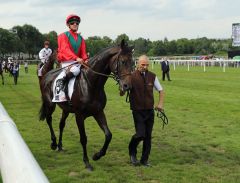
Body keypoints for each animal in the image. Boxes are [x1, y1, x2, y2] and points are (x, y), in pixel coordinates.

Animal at [38, 40, 134, 170]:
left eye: (132, 62)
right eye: (123, 61)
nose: (127, 86)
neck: (91, 83)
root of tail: (47, 74)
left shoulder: (98, 112)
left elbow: (108, 135)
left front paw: (97, 155)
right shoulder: (79, 116)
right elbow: (83, 138)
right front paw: (87, 162)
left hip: (65, 110)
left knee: (61, 124)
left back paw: (60, 146)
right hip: (50, 105)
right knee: (49, 120)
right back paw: (53, 143)